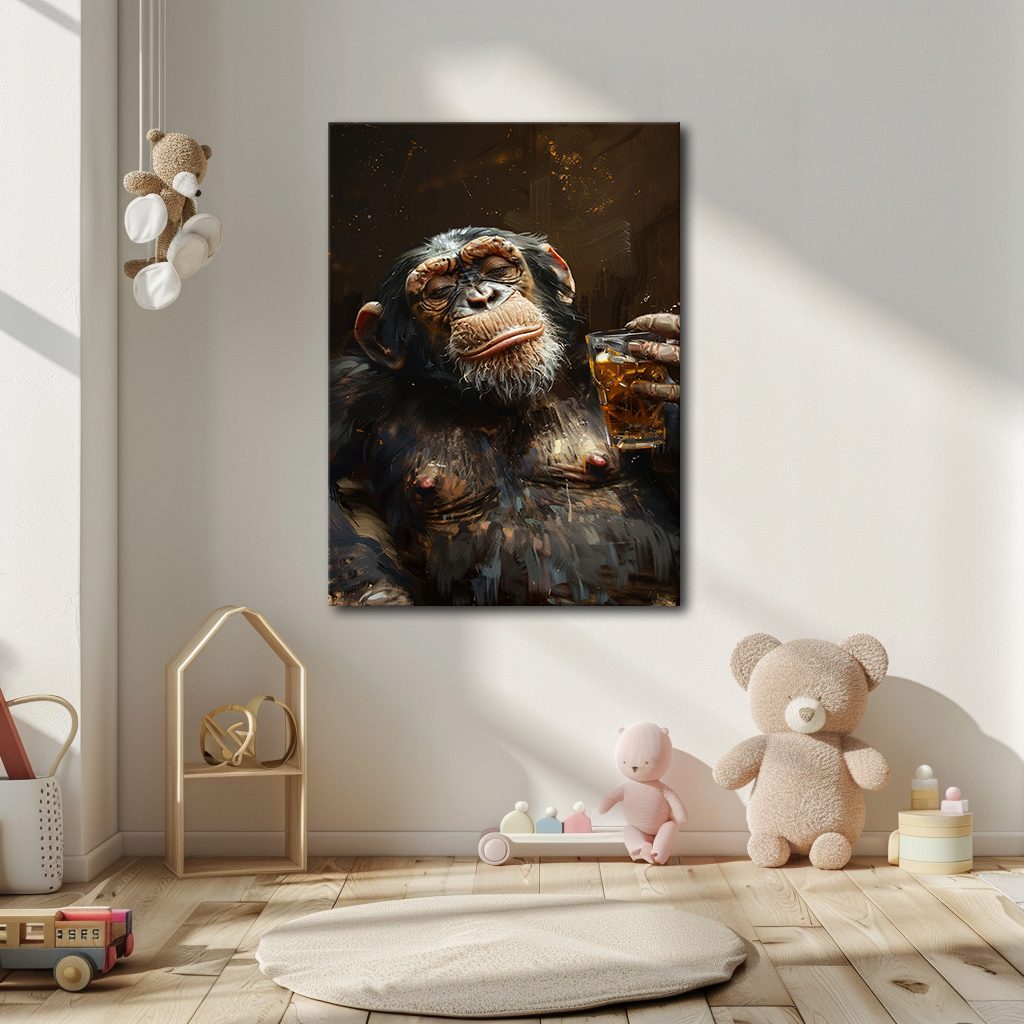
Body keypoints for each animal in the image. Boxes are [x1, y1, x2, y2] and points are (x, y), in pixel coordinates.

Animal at [329, 226, 679, 606]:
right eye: (438, 291)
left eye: (497, 269)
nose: (483, 297)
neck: (502, 396)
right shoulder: (351, 388)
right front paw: (376, 595)